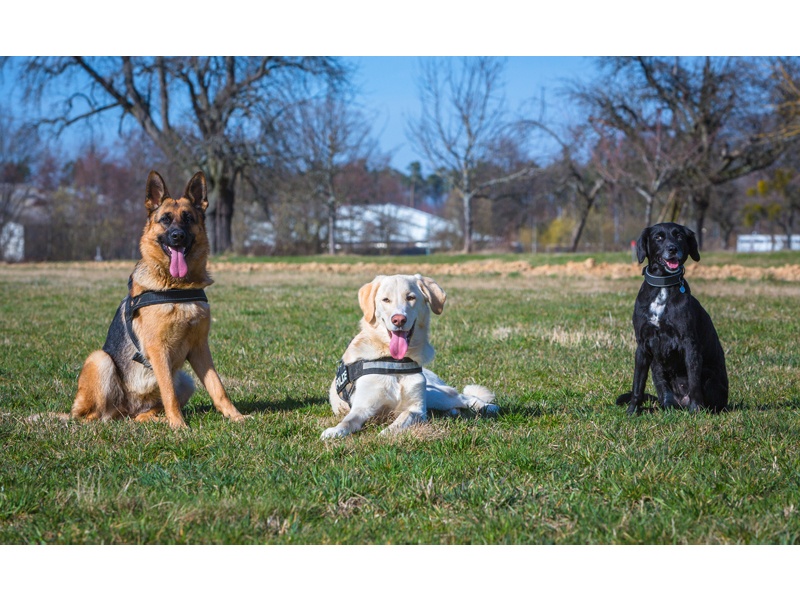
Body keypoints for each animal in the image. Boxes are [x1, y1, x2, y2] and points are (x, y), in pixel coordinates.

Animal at [70, 171, 245, 428]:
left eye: (188, 218)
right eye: (165, 220)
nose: (177, 236)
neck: (176, 287)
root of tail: (126, 411)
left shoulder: (200, 348)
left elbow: (217, 387)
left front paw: (236, 416)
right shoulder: (158, 349)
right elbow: (169, 392)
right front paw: (179, 426)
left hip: (185, 379)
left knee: (143, 413)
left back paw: (151, 418)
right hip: (100, 360)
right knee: (95, 416)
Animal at [320, 274, 496, 438]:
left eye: (410, 297)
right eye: (386, 300)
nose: (398, 319)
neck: (395, 362)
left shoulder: (416, 408)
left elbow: (405, 416)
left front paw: (387, 433)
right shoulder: (362, 407)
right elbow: (348, 421)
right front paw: (334, 431)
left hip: (433, 394)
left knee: (463, 397)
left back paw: (489, 407)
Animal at [616, 223, 728, 414]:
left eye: (679, 236)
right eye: (658, 237)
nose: (672, 249)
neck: (663, 286)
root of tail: (681, 403)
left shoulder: (689, 343)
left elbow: (693, 380)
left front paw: (696, 409)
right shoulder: (642, 346)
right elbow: (638, 384)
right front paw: (632, 411)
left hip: (710, 375)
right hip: (656, 369)